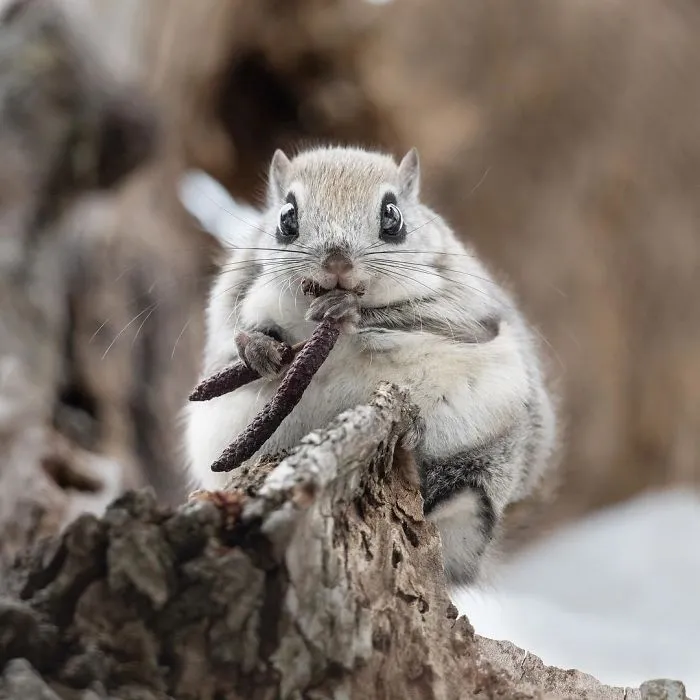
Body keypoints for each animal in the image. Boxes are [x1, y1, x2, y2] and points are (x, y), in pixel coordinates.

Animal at [184, 146, 557, 586]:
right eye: (286, 217)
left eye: (392, 216)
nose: (337, 261)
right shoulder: (234, 293)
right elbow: (230, 340)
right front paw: (257, 348)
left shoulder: (467, 308)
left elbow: (421, 318)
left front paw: (347, 311)